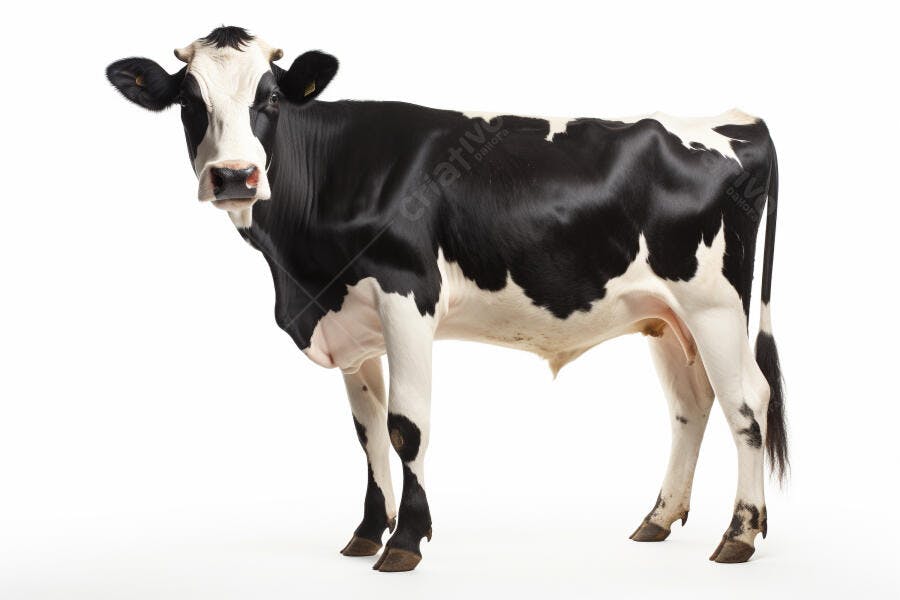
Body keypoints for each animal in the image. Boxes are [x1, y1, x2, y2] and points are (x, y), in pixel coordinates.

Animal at [106, 26, 786, 572]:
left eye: (269, 98)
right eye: (189, 100)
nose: (234, 176)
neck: (301, 279)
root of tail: (737, 122)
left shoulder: (407, 294)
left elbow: (406, 425)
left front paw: (405, 541)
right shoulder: (351, 323)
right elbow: (367, 430)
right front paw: (365, 532)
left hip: (716, 306)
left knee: (748, 402)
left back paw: (739, 534)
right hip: (666, 317)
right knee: (691, 405)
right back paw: (658, 518)